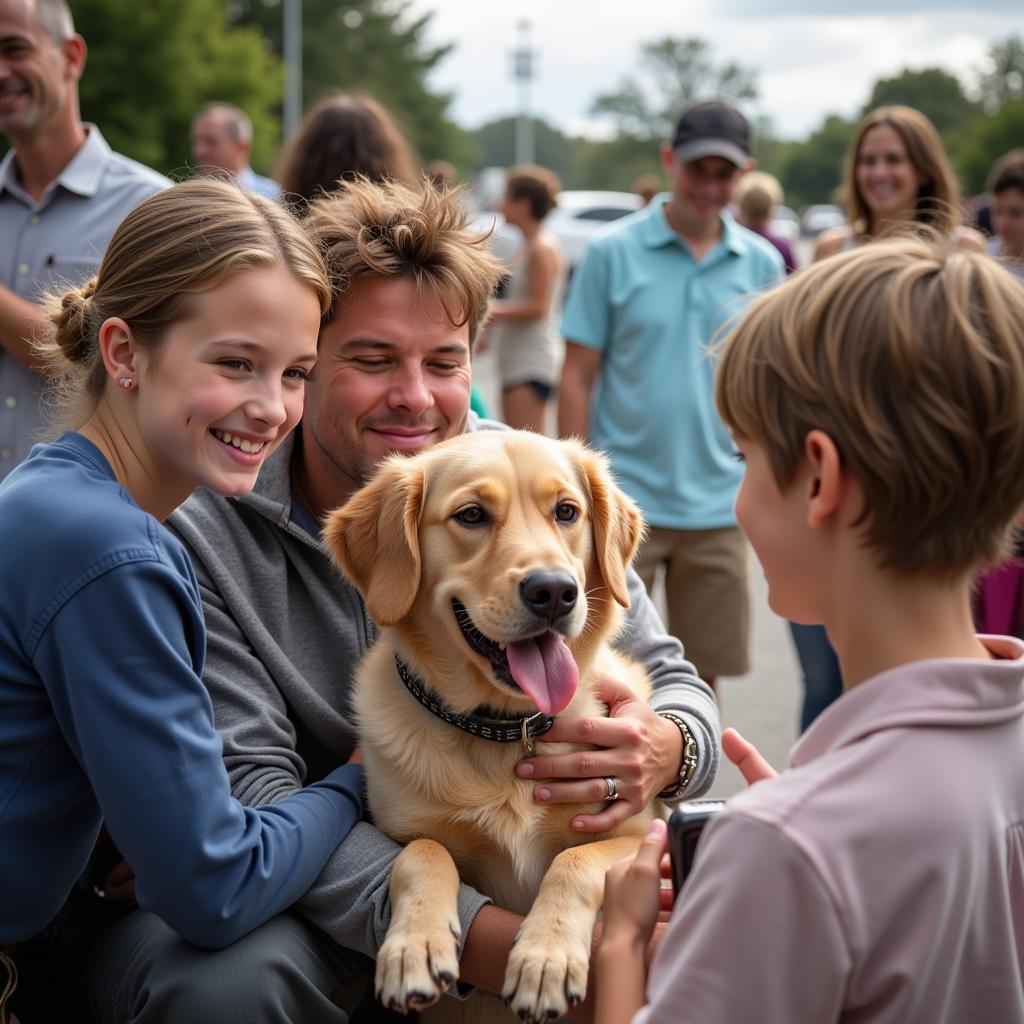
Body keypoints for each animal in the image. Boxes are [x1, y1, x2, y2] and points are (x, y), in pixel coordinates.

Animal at [323, 432, 651, 1024]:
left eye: (566, 512)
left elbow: (574, 859)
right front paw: (413, 947)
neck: (506, 731)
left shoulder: (641, 837)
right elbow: (422, 853)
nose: (555, 591)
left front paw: (545, 958)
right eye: (471, 515)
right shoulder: (396, 833)